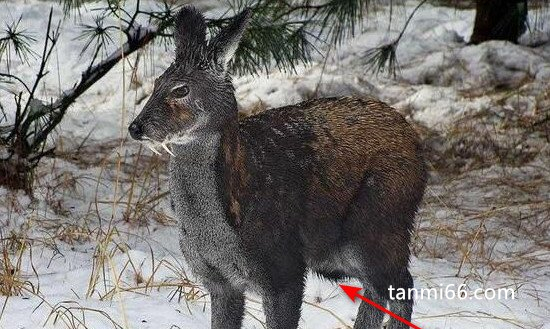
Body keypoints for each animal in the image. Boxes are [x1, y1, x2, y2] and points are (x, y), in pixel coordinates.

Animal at [128, 5, 426, 328]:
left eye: (181, 90)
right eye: (156, 83)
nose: (136, 127)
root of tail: (415, 143)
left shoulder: (284, 268)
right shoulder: (219, 281)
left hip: (379, 223)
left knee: (401, 284)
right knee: (379, 288)